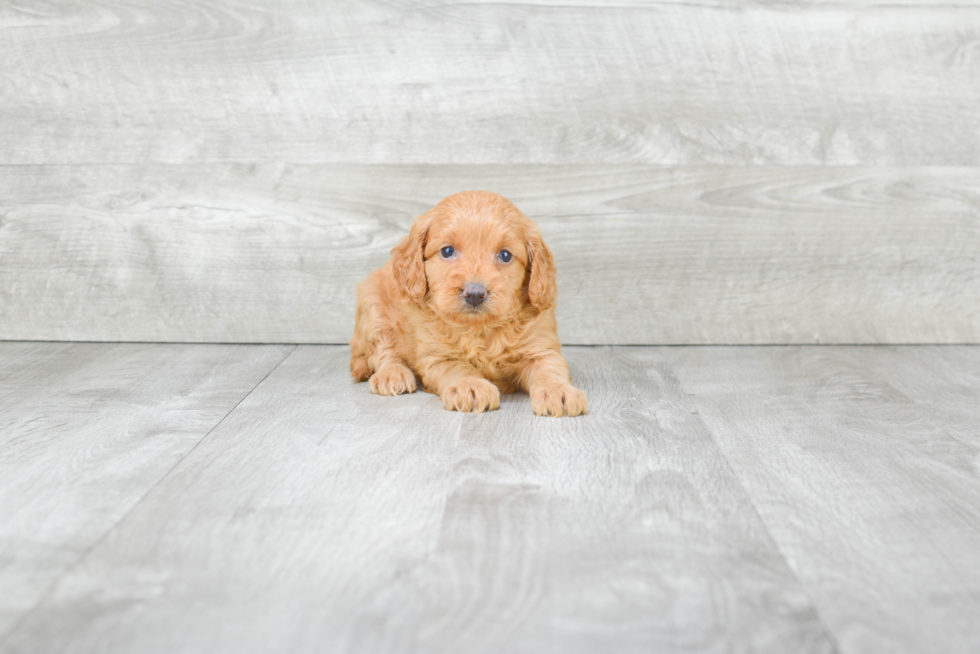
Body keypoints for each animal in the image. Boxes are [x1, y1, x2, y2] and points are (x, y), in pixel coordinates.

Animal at [348, 190, 584, 418]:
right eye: (447, 251)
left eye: (505, 255)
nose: (475, 294)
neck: (479, 328)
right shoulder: (436, 356)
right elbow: (457, 367)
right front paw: (470, 386)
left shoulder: (541, 346)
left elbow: (549, 368)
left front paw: (558, 391)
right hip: (373, 304)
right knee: (383, 350)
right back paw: (392, 374)